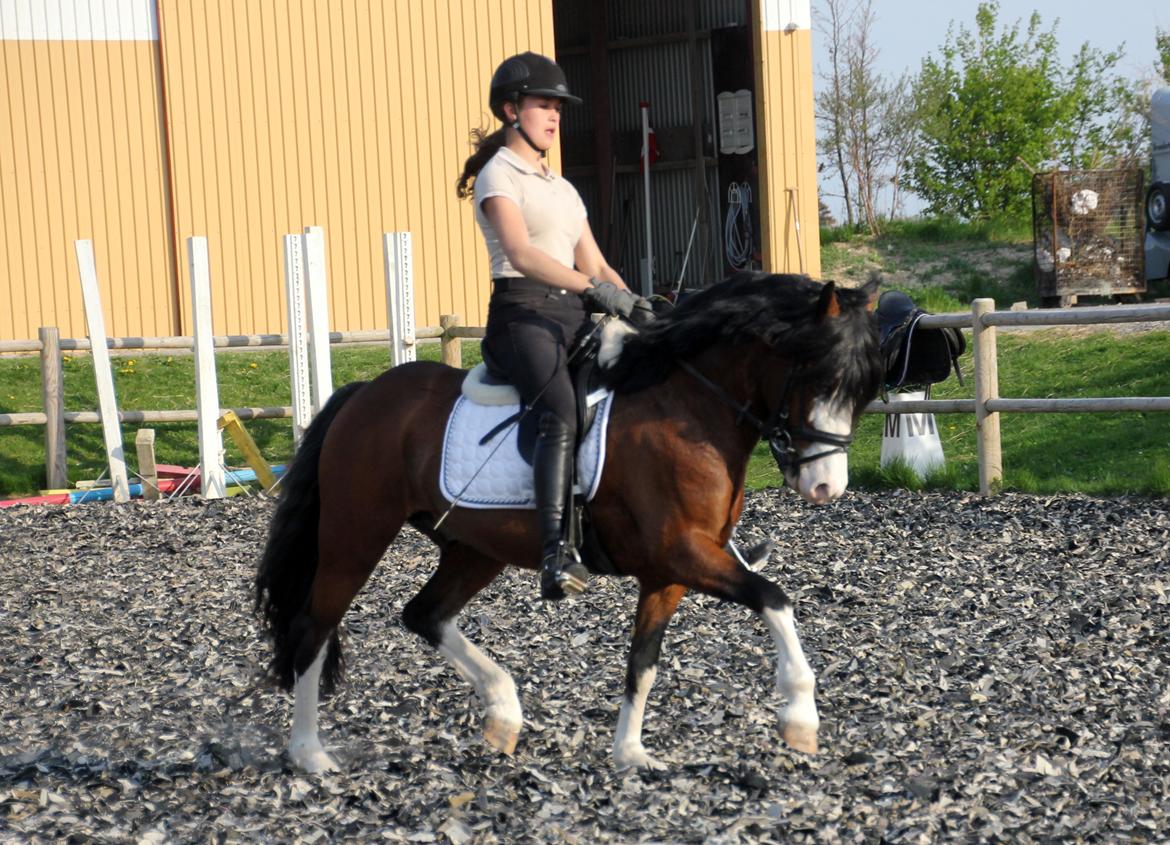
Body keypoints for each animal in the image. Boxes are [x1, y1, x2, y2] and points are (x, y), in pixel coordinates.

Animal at [255, 272, 882, 773]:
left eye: (863, 393)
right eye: (819, 379)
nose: (826, 488)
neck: (687, 407)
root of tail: (365, 393)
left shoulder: (669, 573)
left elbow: (642, 661)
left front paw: (630, 753)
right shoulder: (684, 553)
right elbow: (774, 598)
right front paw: (799, 717)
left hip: (475, 549)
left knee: (424, 614)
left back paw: (503, 713)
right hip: (355, 535)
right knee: (313, 627)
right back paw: (310, 755)